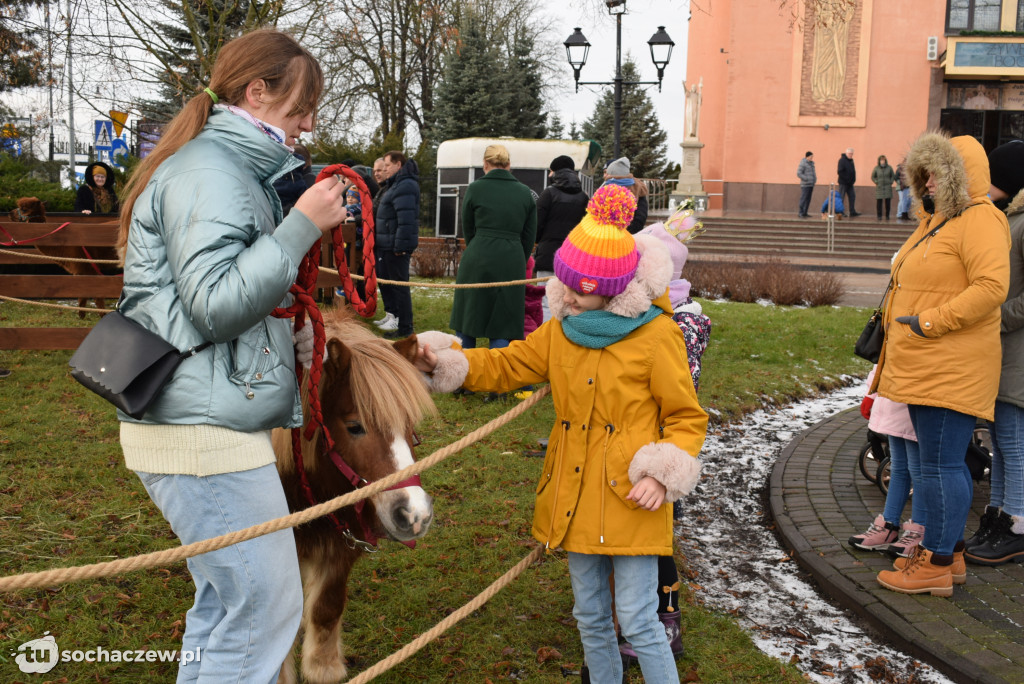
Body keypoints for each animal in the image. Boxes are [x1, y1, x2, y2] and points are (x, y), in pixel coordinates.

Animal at [272, 309, 432, 684]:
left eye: (410, 425)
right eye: (355, 426)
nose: (414, 515)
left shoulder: (343, 543)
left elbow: (326, 608)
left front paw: (323, 667)